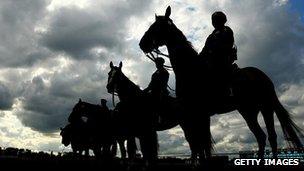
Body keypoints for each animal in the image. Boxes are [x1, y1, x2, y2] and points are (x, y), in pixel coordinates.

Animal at [139, 6, 302, 162]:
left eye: (156, 27)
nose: (142, 44)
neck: (191, 69)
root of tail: (264, 77)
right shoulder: (197, 114)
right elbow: (201, 145)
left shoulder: (199, 113)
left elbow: (201, 144)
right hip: (250, 110)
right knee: (264, 136)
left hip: (264, 107)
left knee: (269, 136)